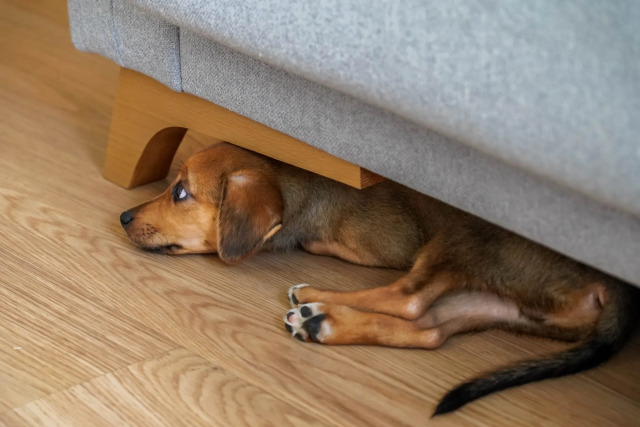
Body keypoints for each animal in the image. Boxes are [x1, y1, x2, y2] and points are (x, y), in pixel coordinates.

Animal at [120, 142, 637, 415]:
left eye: (181, 192)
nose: (124, 217)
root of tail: (618, 291)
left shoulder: (397, 246)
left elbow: (325, 247)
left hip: (466, 238)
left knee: (409, 298)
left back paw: (315, 298)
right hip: (498, 302)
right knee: (429, 330)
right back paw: (322, 324)